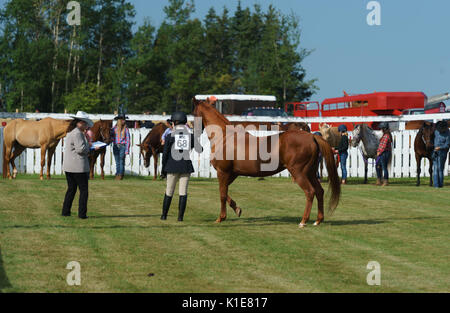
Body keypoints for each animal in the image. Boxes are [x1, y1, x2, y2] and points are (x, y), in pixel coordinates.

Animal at [192, 97, 340, 227]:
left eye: (194, 114)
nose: (194, 133)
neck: (224, 137)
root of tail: (312, 137)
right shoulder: (232, 174)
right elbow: (224, 192)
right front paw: (237, 209)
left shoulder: (223, 172)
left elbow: (222, 194)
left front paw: (221, 218)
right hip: (311, 172)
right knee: (319, 191)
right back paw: (318, 220)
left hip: (299, 173)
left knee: (310, 192)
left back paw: (303, 221)